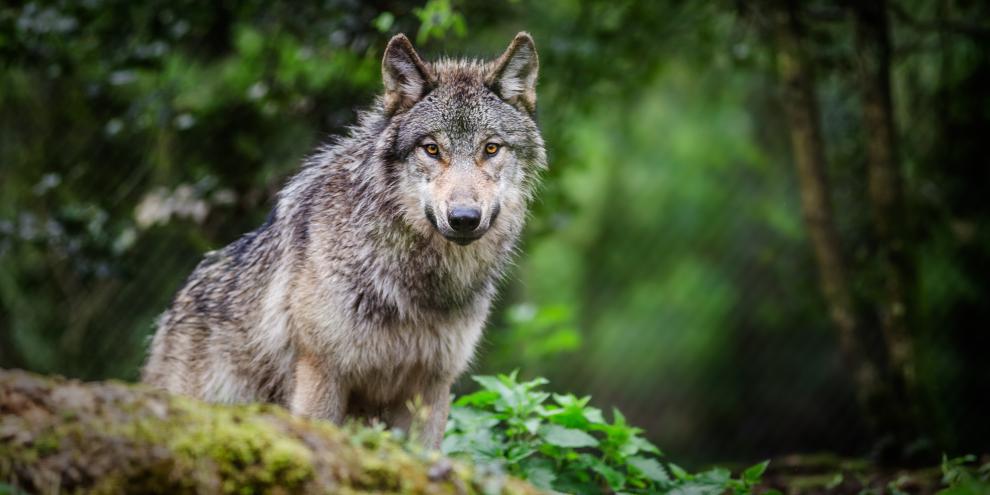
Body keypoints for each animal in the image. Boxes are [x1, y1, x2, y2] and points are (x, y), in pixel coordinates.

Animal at [141, 32, 545, 447]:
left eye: (491, 148)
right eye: (432, 149)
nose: (464, 219)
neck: (416, 285)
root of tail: (174, 308)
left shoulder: (432, 387)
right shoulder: (321, 373)